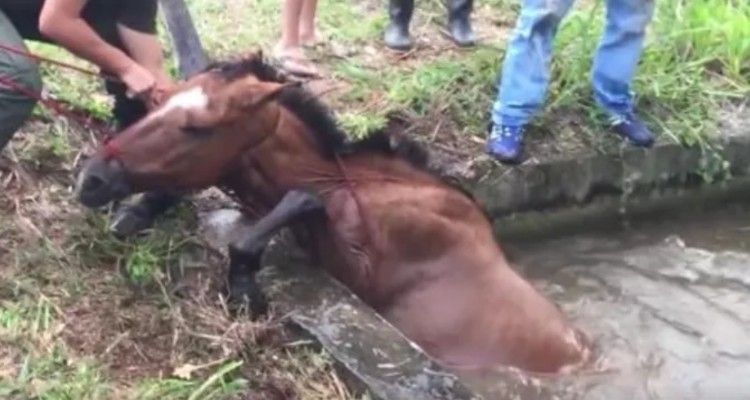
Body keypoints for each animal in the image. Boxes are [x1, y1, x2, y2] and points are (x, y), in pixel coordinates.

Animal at [76, 53, 592, 376]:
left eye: (198, 128)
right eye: (158, 102)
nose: (93, 178)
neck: (353, 184)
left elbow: (285, 214)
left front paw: (244, 282)